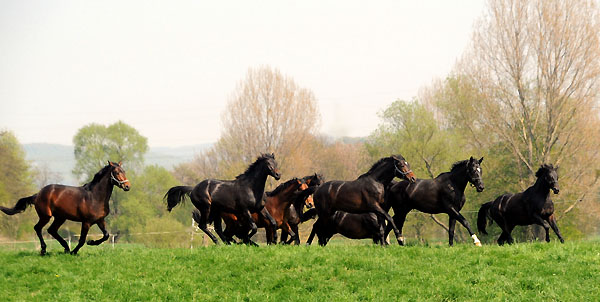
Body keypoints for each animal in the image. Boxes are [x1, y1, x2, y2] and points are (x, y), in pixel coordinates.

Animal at [0, 160, 131, 255]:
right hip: (46, 216)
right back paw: (44, 250)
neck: (95, 196)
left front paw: (91, 242)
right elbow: (82, 240)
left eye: (124, 171)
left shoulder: (100, 220)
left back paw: (66, 248)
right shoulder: (86, 222)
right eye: (117, 172)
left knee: (51, 230)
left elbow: (106, 235)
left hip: (60, 217)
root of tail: (38, 194)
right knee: (38, 228)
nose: (127, 186)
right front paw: (75, 251)